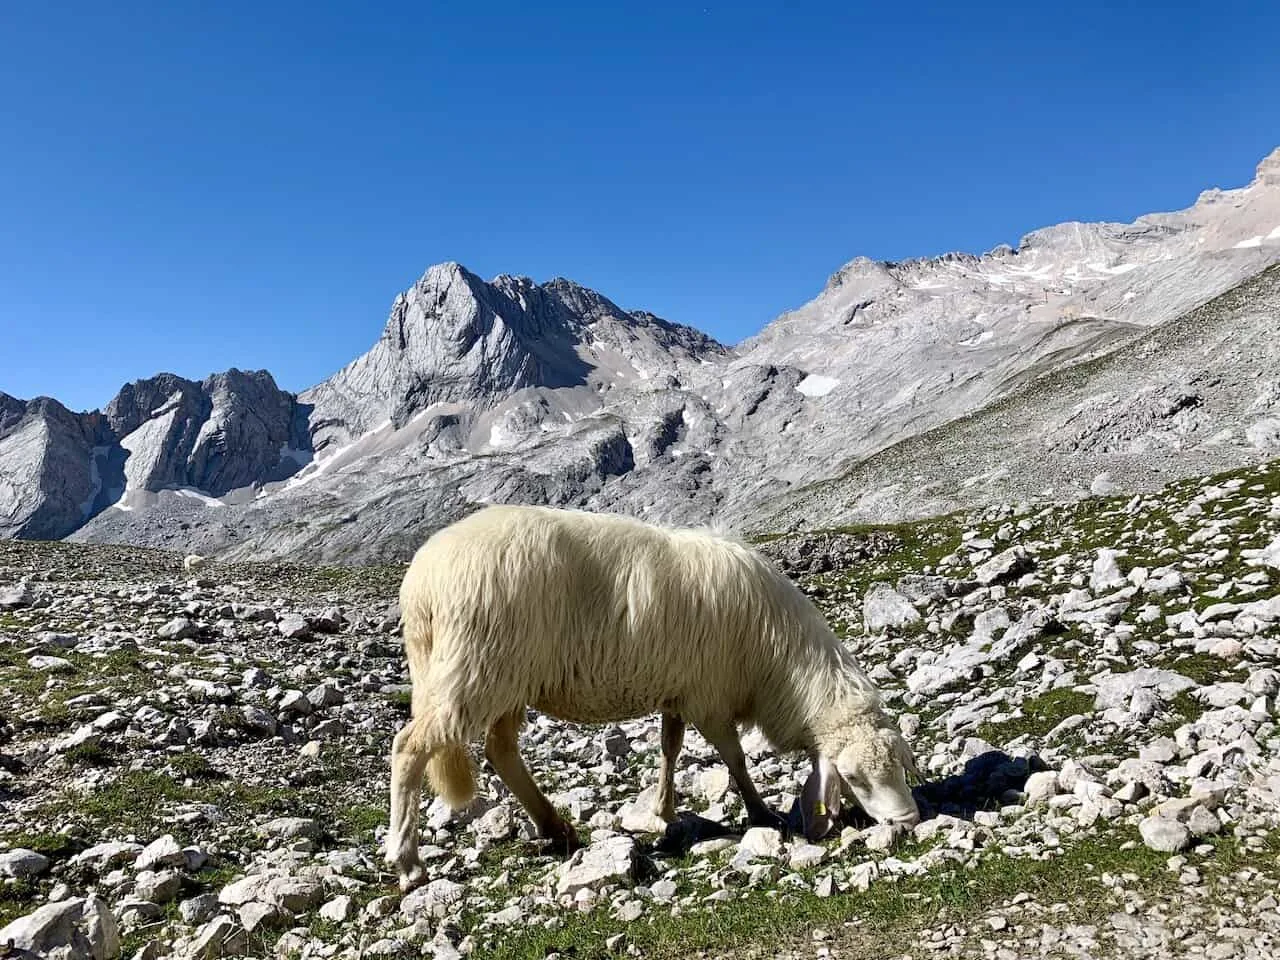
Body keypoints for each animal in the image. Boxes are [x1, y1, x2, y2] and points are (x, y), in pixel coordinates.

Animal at [381, 506, 921, 890]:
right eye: (853, 778)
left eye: (900, 764)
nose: (908, 821)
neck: (776, 660)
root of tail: (421, 582)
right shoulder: (709, 696)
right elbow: (734, 757)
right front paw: (760, 812)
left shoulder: (678, 691)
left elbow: (670, 747)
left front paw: (663, 809)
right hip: (475, 669)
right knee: (410, 747)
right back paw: (407, 861)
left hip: (506, 678)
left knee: (501, 751)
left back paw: (555, 827)